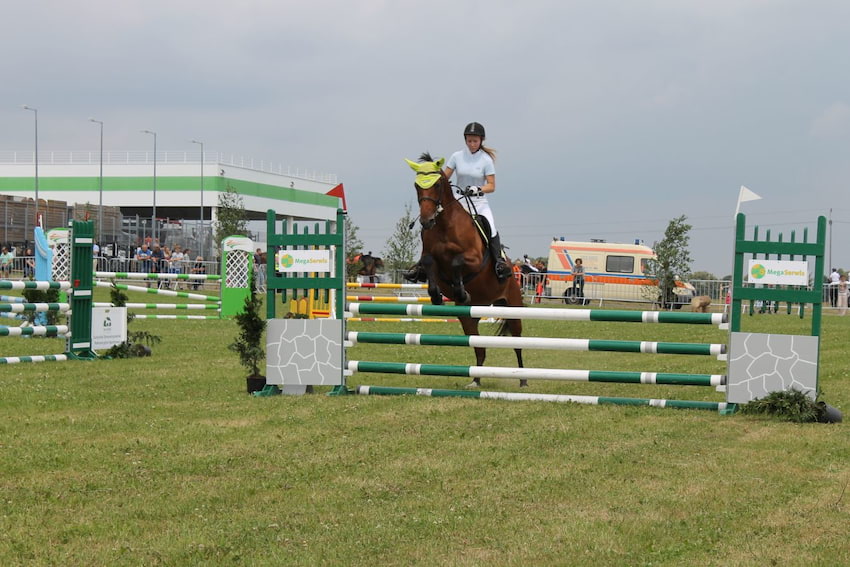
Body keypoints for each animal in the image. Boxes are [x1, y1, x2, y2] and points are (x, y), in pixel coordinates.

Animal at [404, 153, 524, 388]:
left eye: (437, 184)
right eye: (416, 185)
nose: (426, 221)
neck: (444, 224)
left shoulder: (474, 259)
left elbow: (457, 262)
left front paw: (461, 292)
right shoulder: (430, 258)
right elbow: (429, 263)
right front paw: (436, 296)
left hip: (513, 310)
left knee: (517, 344)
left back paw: (523, 380)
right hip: (469, 318)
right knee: (479, 348)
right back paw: (475, 381)